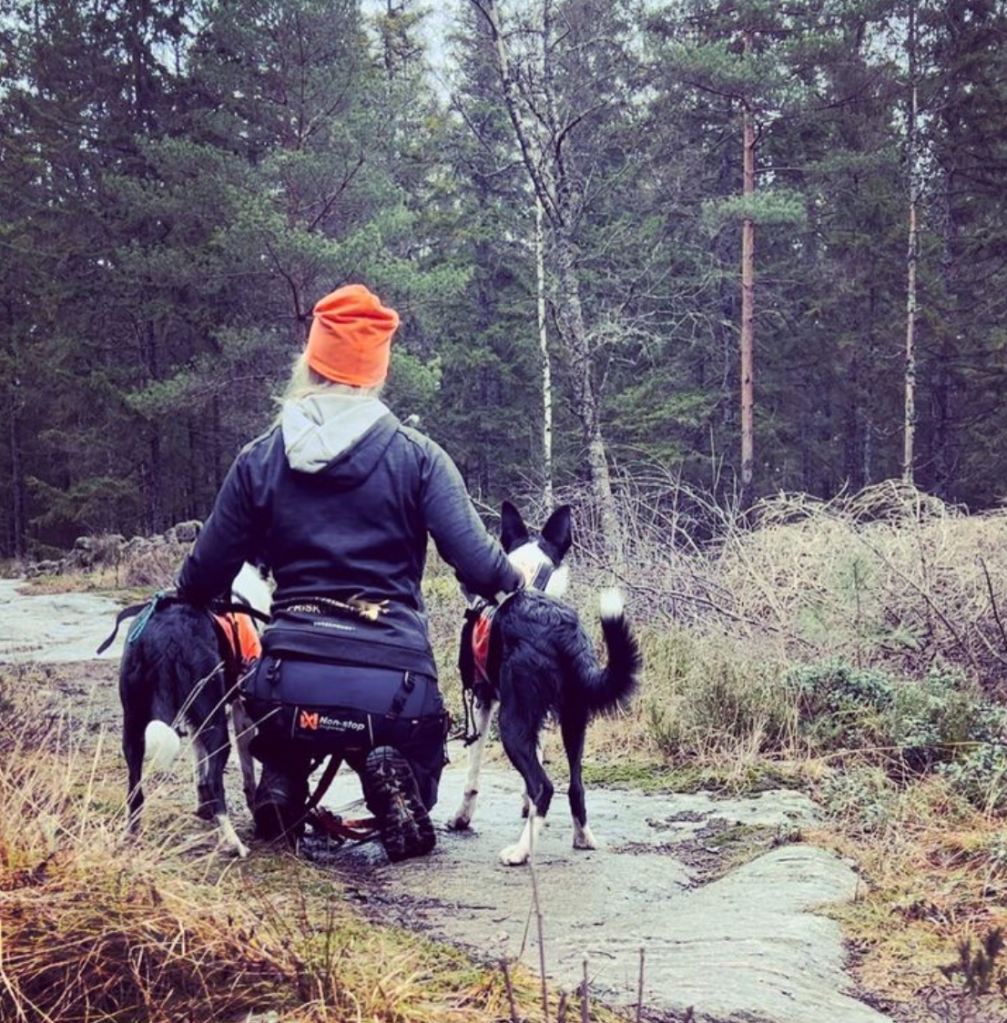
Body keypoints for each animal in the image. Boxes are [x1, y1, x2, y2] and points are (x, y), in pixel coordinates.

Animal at [118, 563, 271, 858]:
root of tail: (165, 638)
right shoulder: (241, 714)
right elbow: (246, 772)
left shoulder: (194, 720)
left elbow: (199, 762)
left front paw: (202, 806)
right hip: (216, 725)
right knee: (216, 783)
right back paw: (233, 842)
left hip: (133, 727)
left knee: (135, 790)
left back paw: (131, 837)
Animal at [447, 502, 640, 865]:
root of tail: (561, 630)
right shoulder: (540, 717)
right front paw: (527, 811)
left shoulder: (482, 700)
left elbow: (472, 775)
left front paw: (461, 818)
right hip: (574, 719)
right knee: (575, 786)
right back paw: (582, 838)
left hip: (511, 721)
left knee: (544, 786)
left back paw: (521, 851)